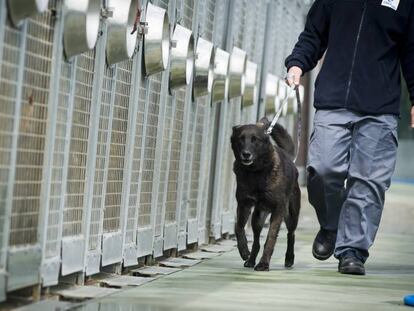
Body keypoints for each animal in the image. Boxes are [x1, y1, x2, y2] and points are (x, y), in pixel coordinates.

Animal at [230, 118, 300, 272]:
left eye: (255, 139)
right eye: (241, 139)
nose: (246, 154)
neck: (255, 172)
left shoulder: (278, 210)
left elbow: (271, 237)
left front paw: (263, 264)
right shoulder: (243, 204)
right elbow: (238, 227)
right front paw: (244, 251)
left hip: (291, 216)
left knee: (291, 234)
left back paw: (289, 258)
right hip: (258, 217)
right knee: (256, 240)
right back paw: (251, 260)